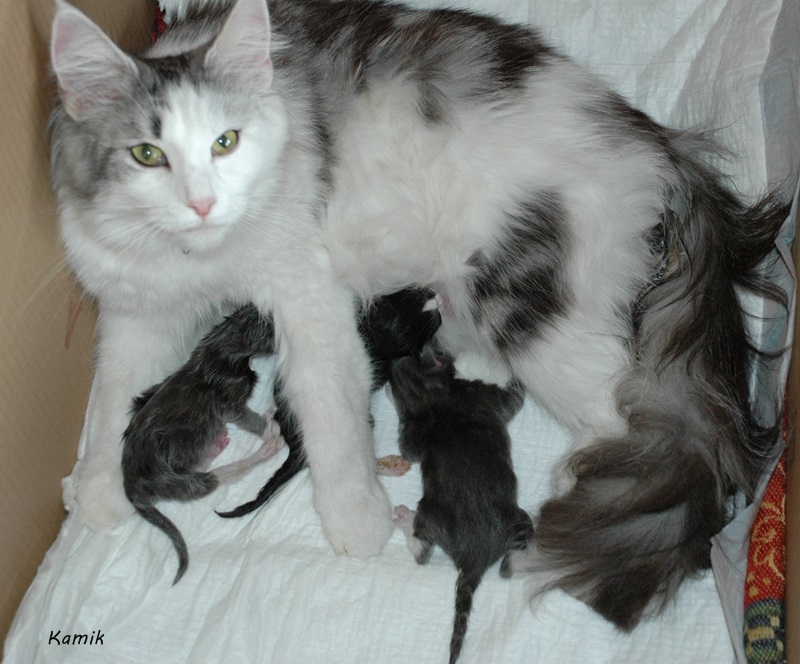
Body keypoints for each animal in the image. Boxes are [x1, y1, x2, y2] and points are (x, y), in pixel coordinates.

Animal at [122, 304, 282, 584]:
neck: (220, 344)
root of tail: (131, 487)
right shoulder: (231, 403)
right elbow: (251, 420)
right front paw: (269, 424)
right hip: (182, 482)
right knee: (222, 474)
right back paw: (266, 447)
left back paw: (217, 444)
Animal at [389, 345, 534, 664]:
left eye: (409, 360)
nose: (396, 358)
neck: (433, 393)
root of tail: (472, 562)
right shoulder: (484, 396)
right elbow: (515, 398)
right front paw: (515, 371)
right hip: (474, 517)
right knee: (428, 554)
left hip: (494, 519)